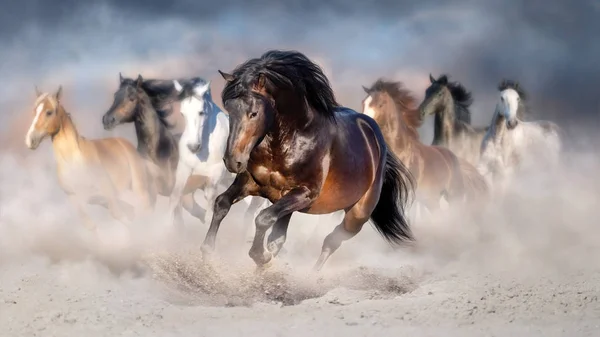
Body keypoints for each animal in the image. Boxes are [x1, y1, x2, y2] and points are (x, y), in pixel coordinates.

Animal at [24, 85, 156, 230]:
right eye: (34, 111)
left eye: (49, 112)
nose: (30, 140)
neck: (73, 161)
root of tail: (126, 144)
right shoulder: (76, 200)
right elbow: (91, 226)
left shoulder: (108, 192)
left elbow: (118, 215)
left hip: (138, 190)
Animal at [166, 79, 264, 228]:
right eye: (183, 113)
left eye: (201, 112)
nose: (193, 146)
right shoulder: (184, 169)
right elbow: (175, 196)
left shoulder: (216, 173)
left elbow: (210, 200)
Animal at [202, 50, 418, 270]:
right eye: (229, 110)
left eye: (253, 113)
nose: (232, 161)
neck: (289, 141)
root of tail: (375, 136)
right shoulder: (252, 183)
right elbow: (222, 203)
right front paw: (208, 253)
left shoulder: (305, 193)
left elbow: (263, 218)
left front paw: (260, 256)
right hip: (288, 205)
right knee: (279, 238)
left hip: (357, 215)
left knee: (331, 241)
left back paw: (311, 275)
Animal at [360, 79, 488, 211]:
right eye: (364, 103)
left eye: (380, 104)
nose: (364, 124)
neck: (402, 152)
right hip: (432, 200)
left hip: (453, 196)